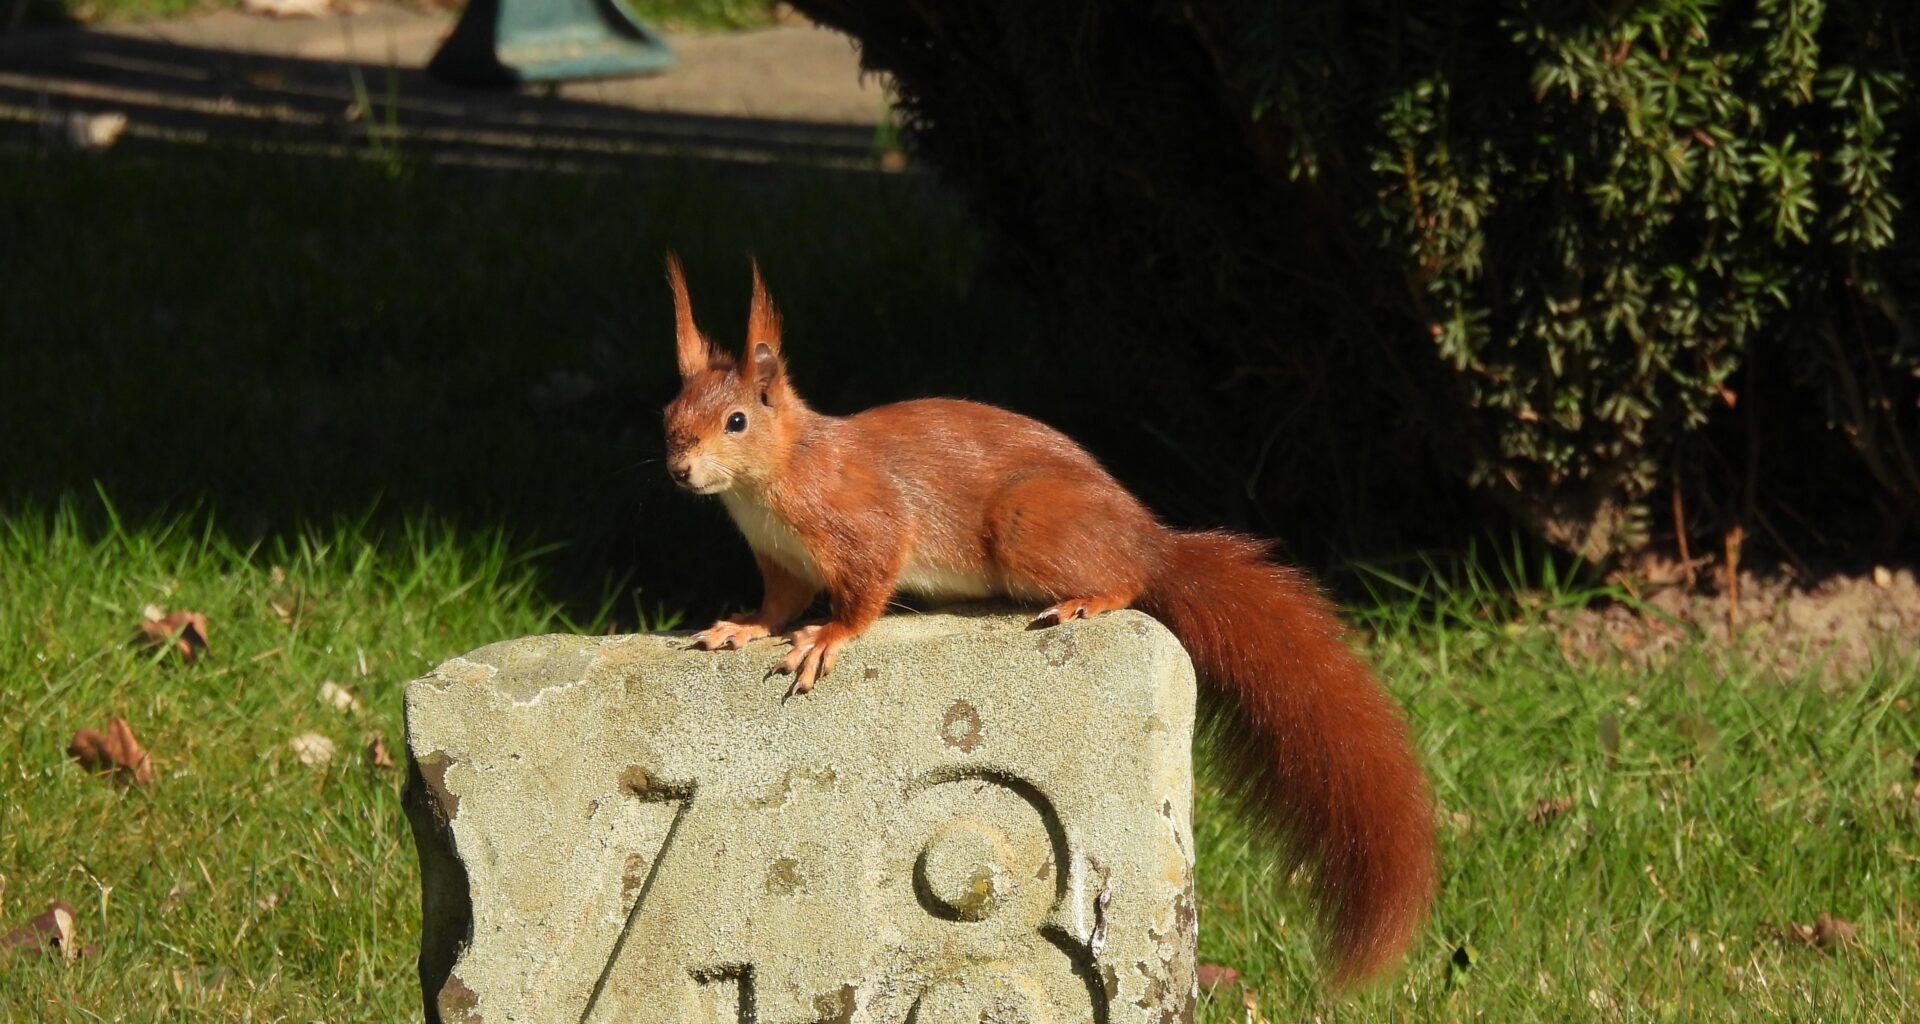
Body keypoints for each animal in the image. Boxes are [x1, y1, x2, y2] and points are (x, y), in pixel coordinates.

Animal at [660, 255, 1437, 986]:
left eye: (737, 421)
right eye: (670, 410)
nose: (679, 470)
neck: (775, 476)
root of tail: (1148, 539)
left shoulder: (863, 526)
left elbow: (865, 592)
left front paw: (826, 639)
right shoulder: (780, 560)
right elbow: (775, 605)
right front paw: (741, 628)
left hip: (1029, 523)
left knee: (1129, 581)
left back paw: (1090, 599)